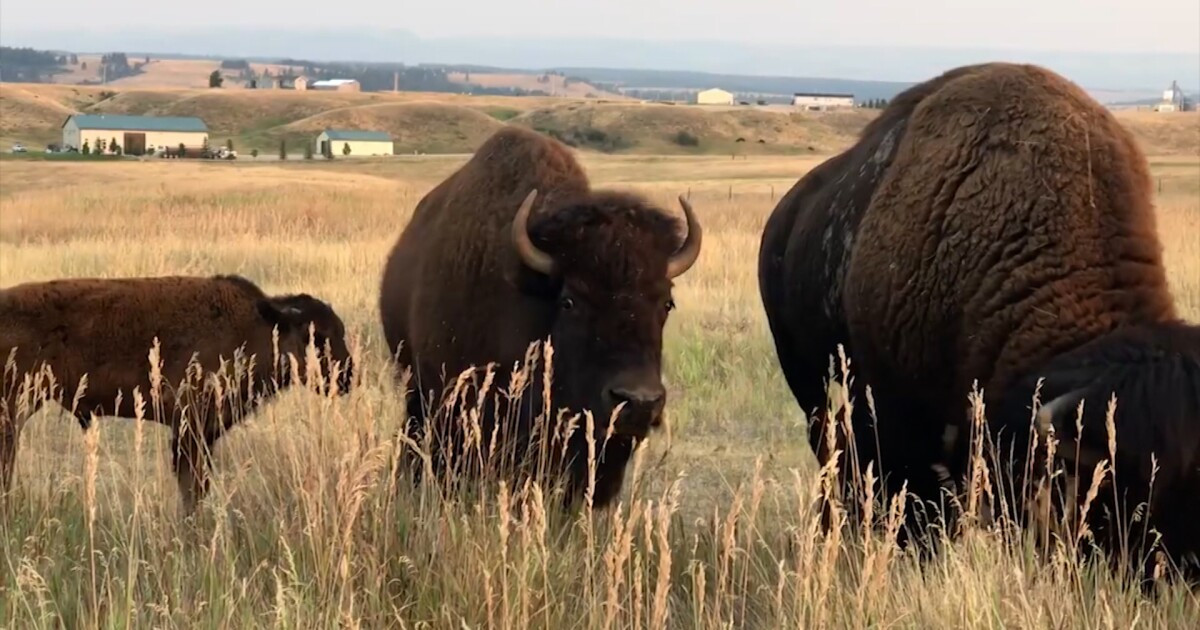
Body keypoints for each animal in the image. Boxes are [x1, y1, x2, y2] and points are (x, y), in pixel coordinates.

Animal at [0, 274, 353, 512]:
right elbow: (192, 485)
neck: (258, 326)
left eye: (340, 331)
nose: (348, 377)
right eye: (316, 336)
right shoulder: (189, 425)